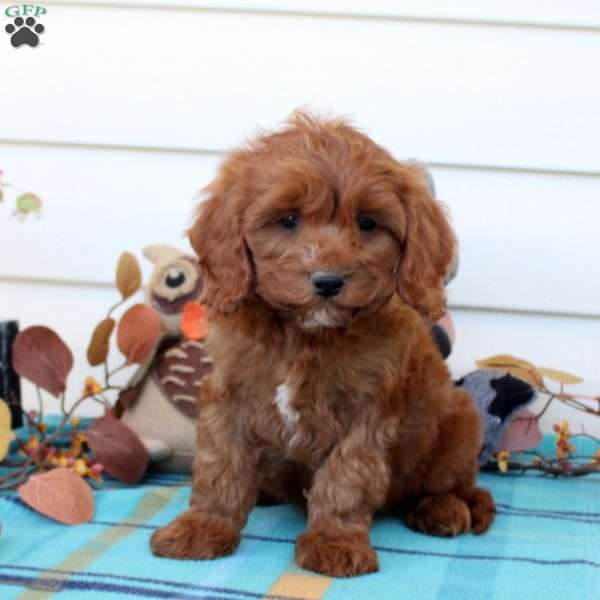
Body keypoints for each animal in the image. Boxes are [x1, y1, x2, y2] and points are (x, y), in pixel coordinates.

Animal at [151, 111, 496, 576]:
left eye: (367, 223)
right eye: (288, 220)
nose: (328, 281)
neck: (304, 335)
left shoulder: (367, 411)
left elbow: (346, 475)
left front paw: (335, 543)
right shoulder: (229, 395)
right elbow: (219, 466)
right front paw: (202, 529)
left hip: (459, 422)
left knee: (453, 485)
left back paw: (442, 509)